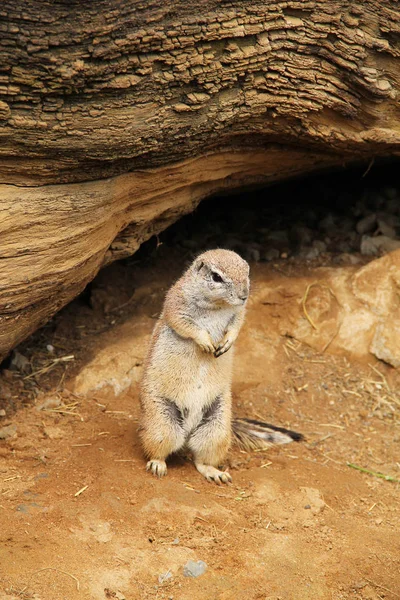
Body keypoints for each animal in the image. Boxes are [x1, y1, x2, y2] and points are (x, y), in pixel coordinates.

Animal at [139, 248, 302, 482]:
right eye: (216, 277)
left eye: (247, 271)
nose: (244, 295)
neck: (218, 305)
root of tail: (188, 431)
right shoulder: (176, 303)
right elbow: (186, 325)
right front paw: (206, 343)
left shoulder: (239, 313)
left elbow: (236, 326)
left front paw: (226, 343)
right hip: (162, 424)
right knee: (158, 448)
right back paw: (157, 464)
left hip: (216, 427)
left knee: (201, 460)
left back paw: (215, 473)